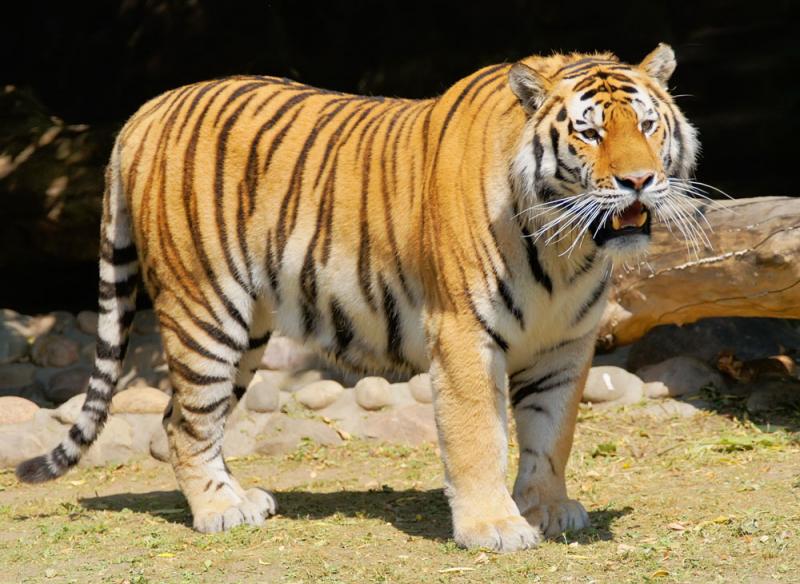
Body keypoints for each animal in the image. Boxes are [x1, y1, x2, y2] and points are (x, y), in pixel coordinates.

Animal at [17, 43, 699, 551]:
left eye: (646, 124)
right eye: (588, 133)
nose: (639, 181)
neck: (567, 247)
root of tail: (147, 109)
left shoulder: (565, 342)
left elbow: (551, 434)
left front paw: (548, 509)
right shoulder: (462, 333)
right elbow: (479, 435)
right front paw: (495, 527)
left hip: (249, 328)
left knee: (179, 415)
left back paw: (243, 498)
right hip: (205, 309)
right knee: (187, 421)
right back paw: (218, 512)